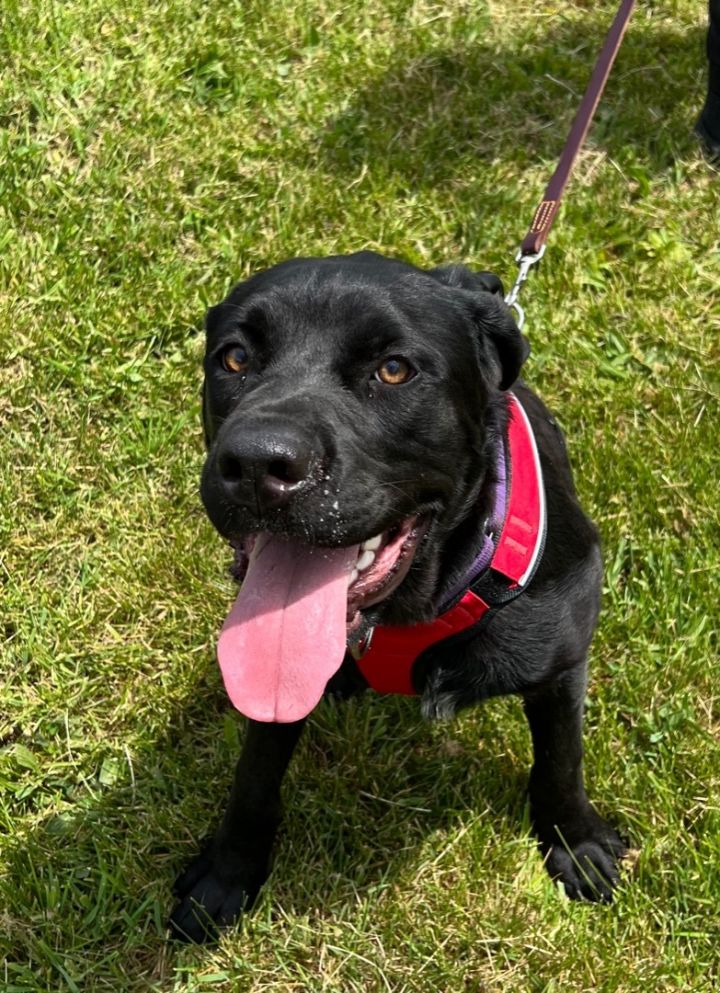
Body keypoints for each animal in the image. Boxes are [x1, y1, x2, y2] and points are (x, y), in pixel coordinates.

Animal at [169, 252, 624, 940]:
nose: (255, 464)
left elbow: (561, 762)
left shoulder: (562, 664)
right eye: (236, 358)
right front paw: (229, 872)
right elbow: (254, 773)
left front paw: (578, 845)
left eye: (393, 369)